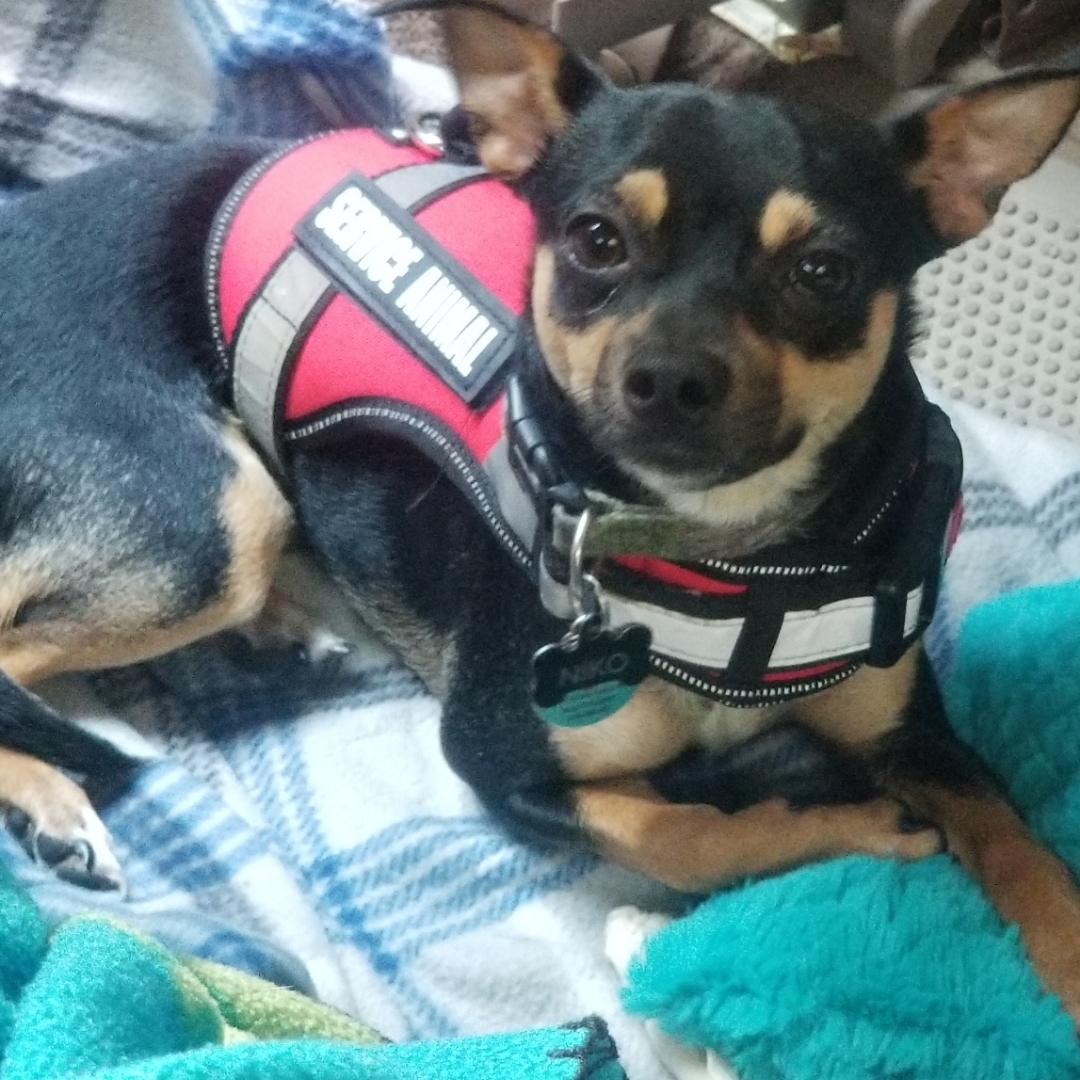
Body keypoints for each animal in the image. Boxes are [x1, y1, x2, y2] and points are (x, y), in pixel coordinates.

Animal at [2, 0, 1080, 1021]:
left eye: (825, 271)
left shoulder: (913, 733)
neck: (725, 555)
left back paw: (283, 629)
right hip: (211, 524)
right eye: (597, 240)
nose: (671, 378)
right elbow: (679, 832)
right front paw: (844, 829)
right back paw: (58, 799)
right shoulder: (496, 758)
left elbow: (1018, 839)